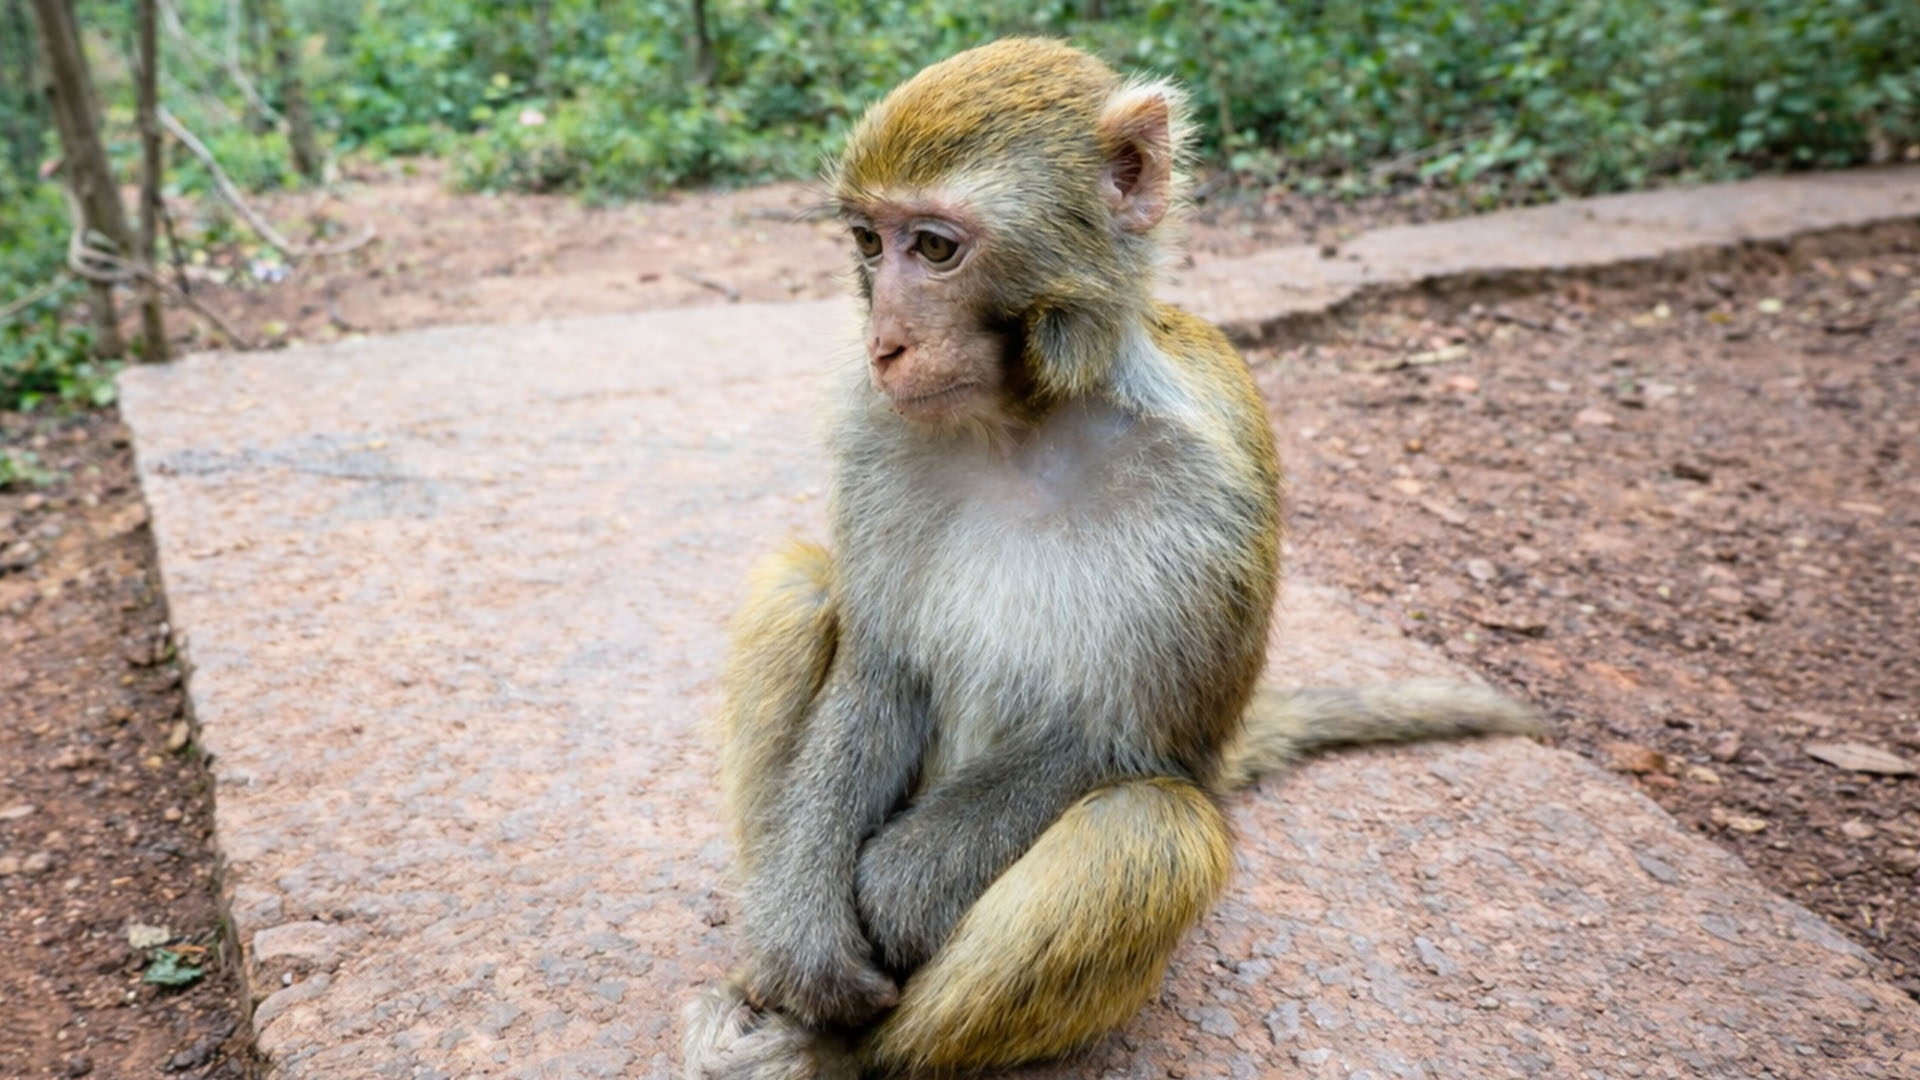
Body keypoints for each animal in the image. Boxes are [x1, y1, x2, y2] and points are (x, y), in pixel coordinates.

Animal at [681, 38, 1538, 1080]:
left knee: (1151, 831)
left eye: (936, 248)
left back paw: (847, 1055)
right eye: (868, 244)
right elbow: (883, 667)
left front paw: (897, 888)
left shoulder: (1217, 481)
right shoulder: (872, 428)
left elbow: (1138, 742)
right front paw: (801, 932)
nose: (883, 343)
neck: (1027, 421)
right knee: (801, 585)